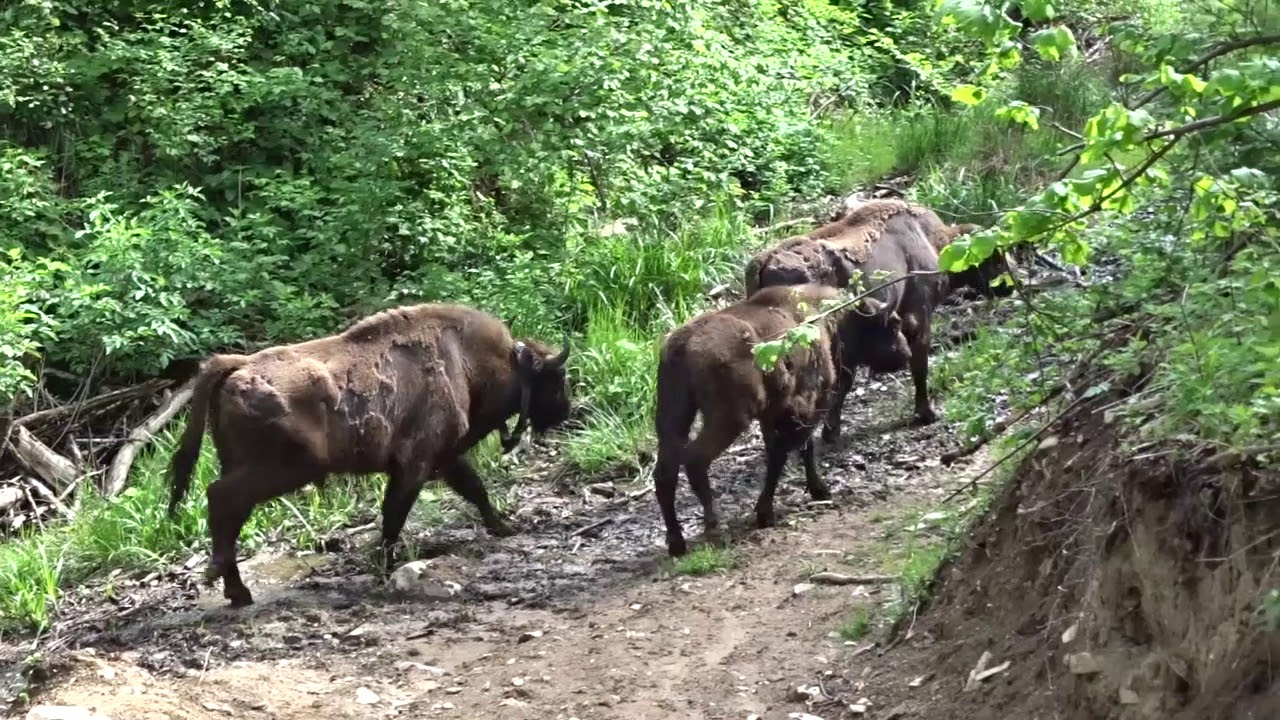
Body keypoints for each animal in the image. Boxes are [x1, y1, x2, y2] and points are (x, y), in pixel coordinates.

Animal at [167, 303, 571, 607]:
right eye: (556, 379)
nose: (567, 411)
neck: (469, 360)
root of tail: (238, 366)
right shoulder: (416, 465)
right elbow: (394, 515)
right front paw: (384, 564)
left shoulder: (443, 459)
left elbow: (474, 489)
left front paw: (502, 526)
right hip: (277, 471)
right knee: (222, 499)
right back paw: (233, 587)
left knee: (228, 510)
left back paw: (234, 589)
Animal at [653, 283, 879, 557]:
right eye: (889, 324)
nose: (903, 351)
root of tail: (682, 345)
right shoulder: (800, 408)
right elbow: (784, 454)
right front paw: (766, 512)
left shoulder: (775, 414)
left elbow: (795, 450)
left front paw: (815, 490)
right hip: (729, 419)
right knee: (695, 460)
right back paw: (714, 526)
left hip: (673, 418)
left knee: (665, 472)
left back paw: (677, 542)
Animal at [744, 199, 1015, 433]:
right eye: (996, 256)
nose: (1011, 284)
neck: (931, 240)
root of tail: (763, 261)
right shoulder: (918, 316)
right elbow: (919, 366)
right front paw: (927, 414)